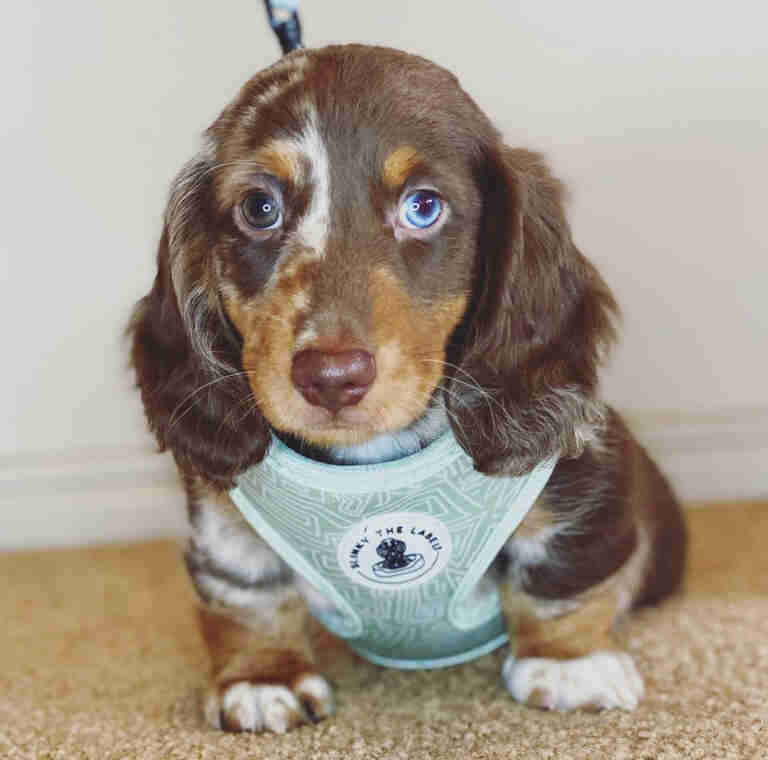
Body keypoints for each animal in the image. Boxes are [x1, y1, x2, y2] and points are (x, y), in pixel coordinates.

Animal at [129, 44, 688, 732]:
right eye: (260, 208)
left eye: (423, 206)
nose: (331, 377)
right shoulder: (224, 521)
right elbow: (244, 597)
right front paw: (264, 675)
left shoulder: (579, 478)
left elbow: (564, 574)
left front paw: (568, 662)